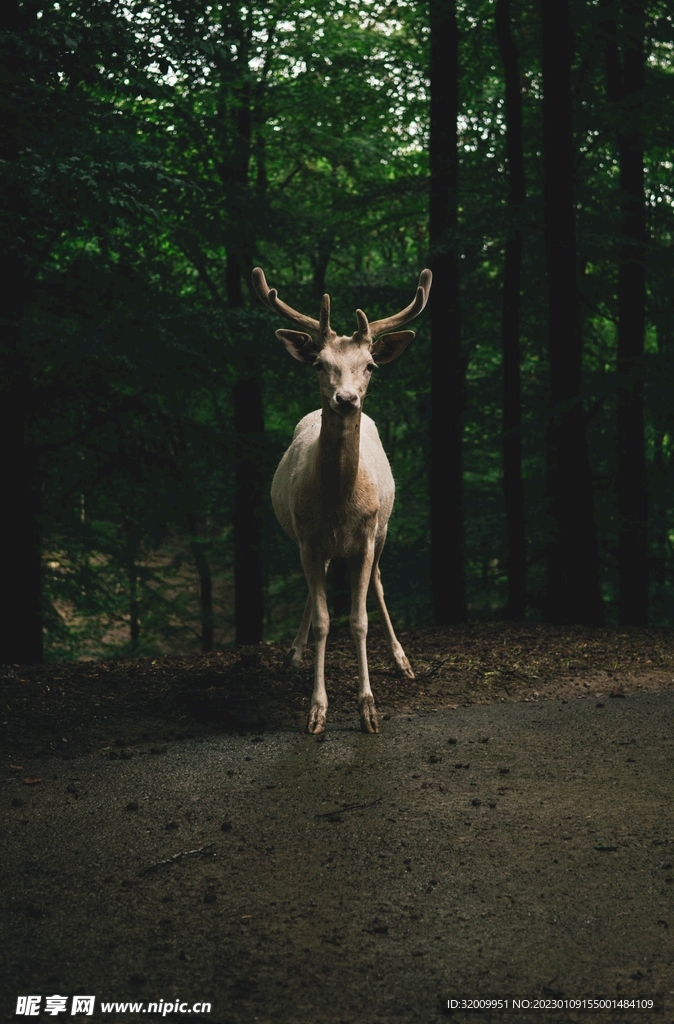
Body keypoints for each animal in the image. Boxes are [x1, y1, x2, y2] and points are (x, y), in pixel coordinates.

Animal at [252, 267, 432, 734]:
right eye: (319, 363)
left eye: (369, 365)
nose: (346, 399)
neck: (337, 508)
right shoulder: (308, 539)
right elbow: (323, 621)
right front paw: (316, 709)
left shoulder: (366, 538)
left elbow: (359, 619)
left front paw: (369, 707)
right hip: (307, 542)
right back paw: (293, 655)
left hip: (383, 530)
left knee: (380, 585)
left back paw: (403, 660)